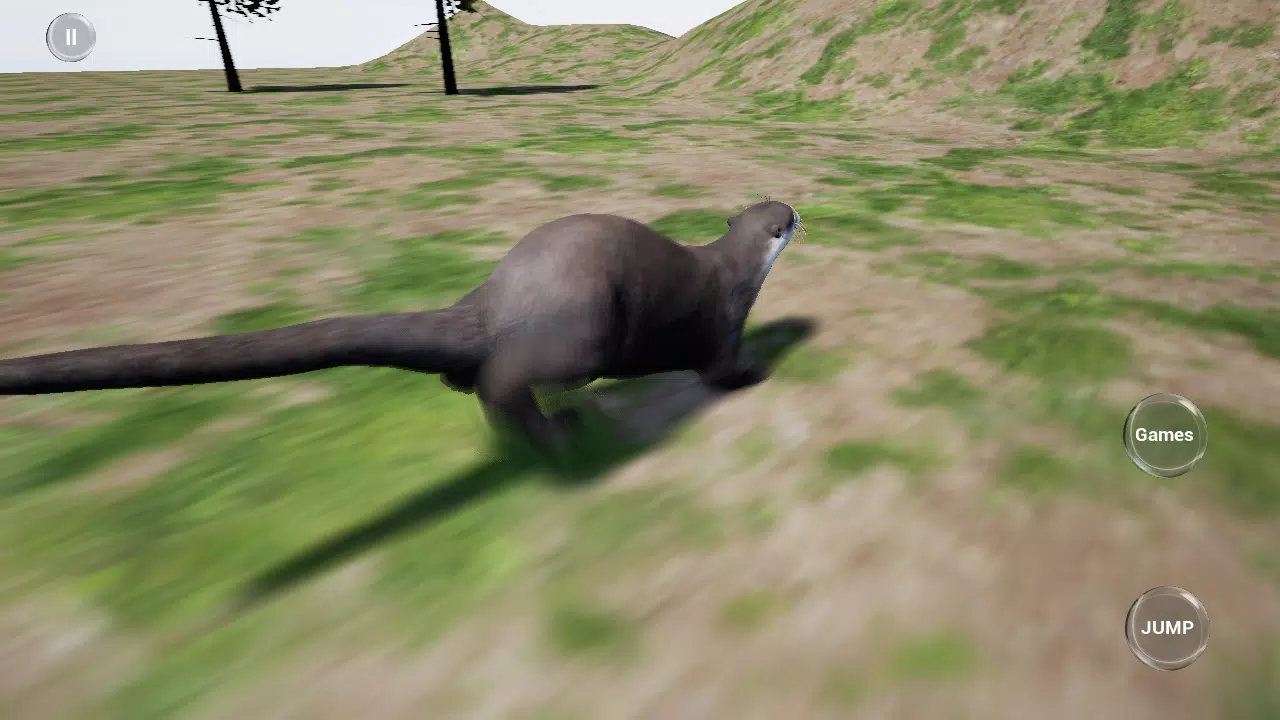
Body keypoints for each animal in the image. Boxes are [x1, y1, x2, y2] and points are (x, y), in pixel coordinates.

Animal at [0, 200, 802, 451]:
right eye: (785, 219)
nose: (799, 210)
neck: (732, 266)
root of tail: (496, 298)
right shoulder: (725, 317)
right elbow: (720, 367)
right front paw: (755, 373)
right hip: (585, 327)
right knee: (507, 381)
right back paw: (557, 431)